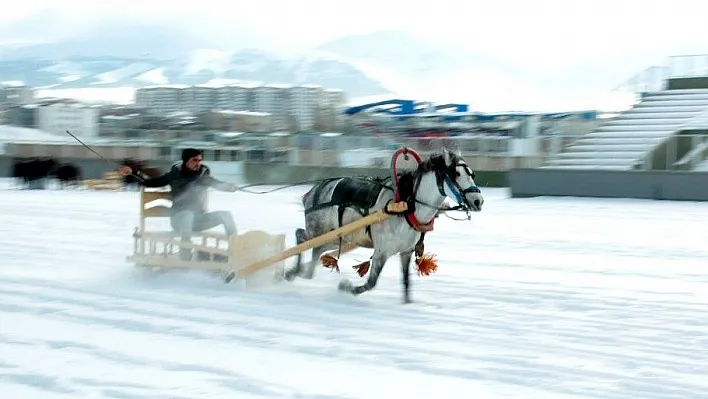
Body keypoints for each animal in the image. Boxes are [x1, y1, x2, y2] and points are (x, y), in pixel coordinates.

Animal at [284, 149, 484, 304]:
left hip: (337, 237)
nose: (478, 201)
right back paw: (294, 271)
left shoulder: (406, 252)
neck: (406, 206)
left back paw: (300, 271)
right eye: (457, 174)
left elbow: (406, 282)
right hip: (320, 231)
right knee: (301, 235)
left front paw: (408, 302)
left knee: (314, 253)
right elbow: (371, 282)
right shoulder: (382, 251)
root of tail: (313, 191)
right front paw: (346, 287)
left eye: (472, 174)